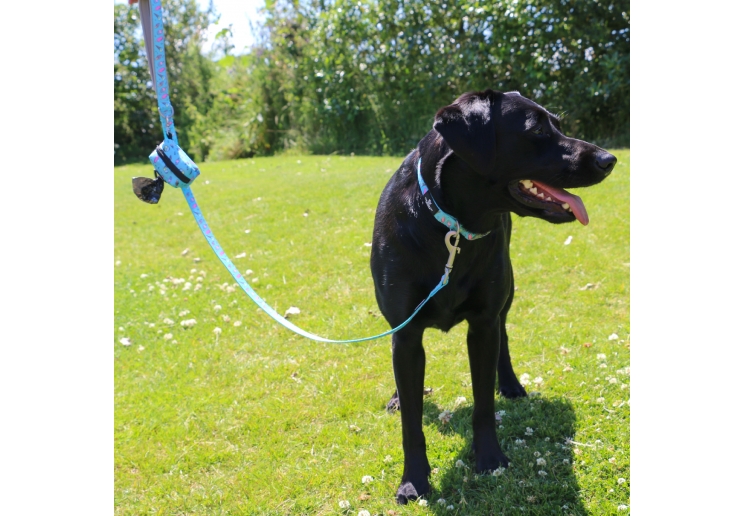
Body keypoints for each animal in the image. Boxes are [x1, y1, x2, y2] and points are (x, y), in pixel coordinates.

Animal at [368, 89, 616, 504]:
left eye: (558, 124)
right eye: (537, 129)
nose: (609, 159)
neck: (451, 228)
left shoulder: (483, 323)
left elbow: (483, 403)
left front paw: (489, 459)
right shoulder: (406, 334)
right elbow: (411, 422)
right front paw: (414, 480)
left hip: (507, 294)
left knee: (505, 338)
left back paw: (512, 385)